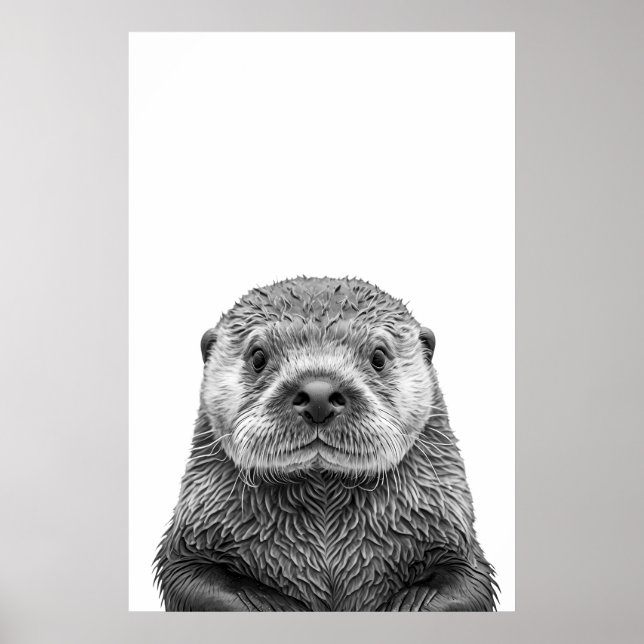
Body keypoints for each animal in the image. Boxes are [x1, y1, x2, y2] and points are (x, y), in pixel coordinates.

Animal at [154, 276, 497, 611]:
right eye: (258, 356)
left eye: (379, 357)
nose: (318, 394)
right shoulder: (191, 544)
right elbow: (195, 581)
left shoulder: (454, 541)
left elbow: (464, 584)